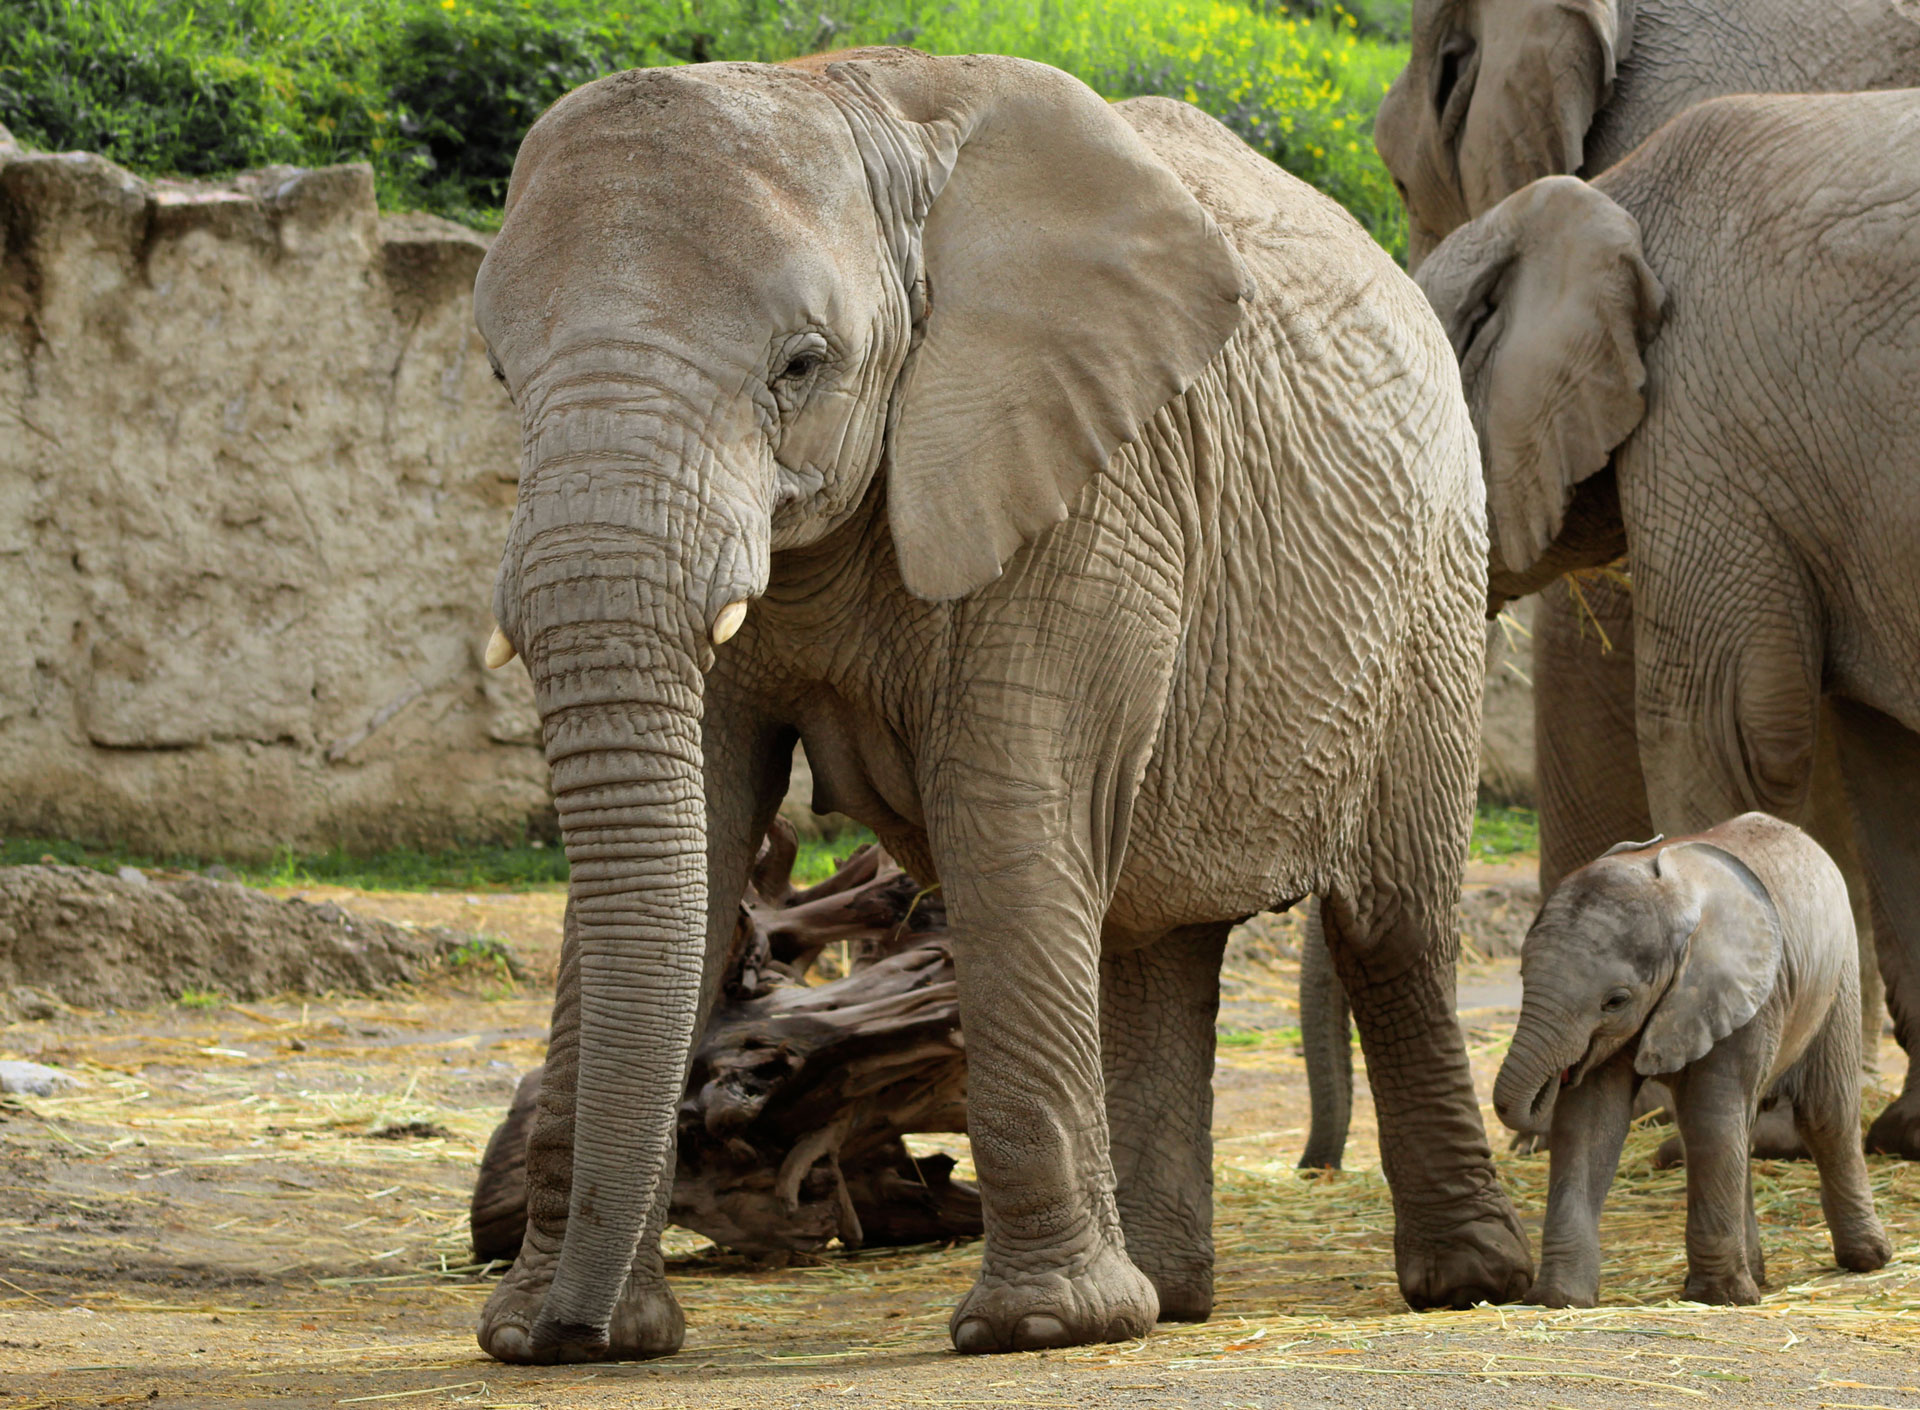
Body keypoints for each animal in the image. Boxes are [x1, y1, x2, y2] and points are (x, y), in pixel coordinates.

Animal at [468, 49, 1528, 1367]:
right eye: (500, 373)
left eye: (800, 364)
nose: (568, 1331)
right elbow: (702, 832)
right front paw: (556, 1334)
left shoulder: (1086, 476)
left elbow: (1005, 817)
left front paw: (1040, 1329)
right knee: (1153, 931)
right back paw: (1166, 1297)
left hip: (1435, 583)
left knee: (1390, 924)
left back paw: (1465, 1283)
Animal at [1413, 96, 1920, 1160]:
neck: (1605, 199)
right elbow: (1891, 765)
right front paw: (1905, 1134)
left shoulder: (1707, 424)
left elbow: (1721, 724)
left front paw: (1723, 1134)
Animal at [1489, 818, 1881, 1313]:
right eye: (1523, 976)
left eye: (1615, 1001)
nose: (1557, 1078)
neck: (1673, 900)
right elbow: (1589, 1123)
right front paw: (1559, 1300)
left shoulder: (1741, 993)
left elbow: (1710, 1117)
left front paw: (1718, 1299)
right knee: (1744, 1129)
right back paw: (1756, 1273)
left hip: (1837, 977)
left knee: (1827, 1117)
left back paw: (1866, 1260)